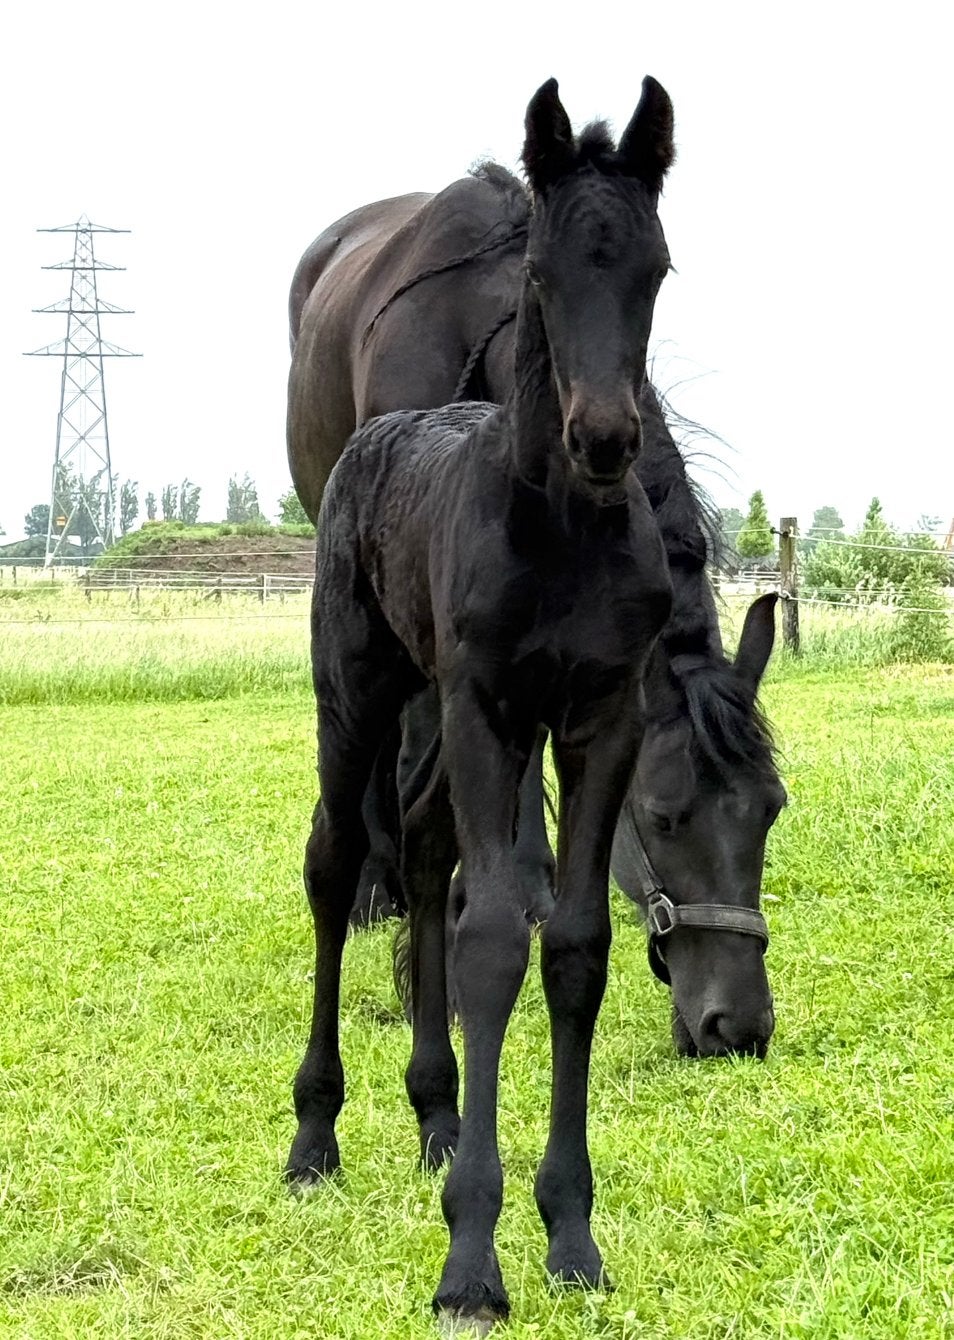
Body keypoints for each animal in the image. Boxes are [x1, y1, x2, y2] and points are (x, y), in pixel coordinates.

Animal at [287, 75, 775, 1327]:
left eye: (658, 268)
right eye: (667, 816)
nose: (736, 1026)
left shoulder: (596, 719)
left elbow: (572, 941)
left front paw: (570, 1233)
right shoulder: (485, 706)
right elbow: (494, 929)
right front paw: (471, 1256)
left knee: (422, 841)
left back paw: (433, 1105)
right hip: (359, 691)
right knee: (338, 856)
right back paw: (315, 1132)